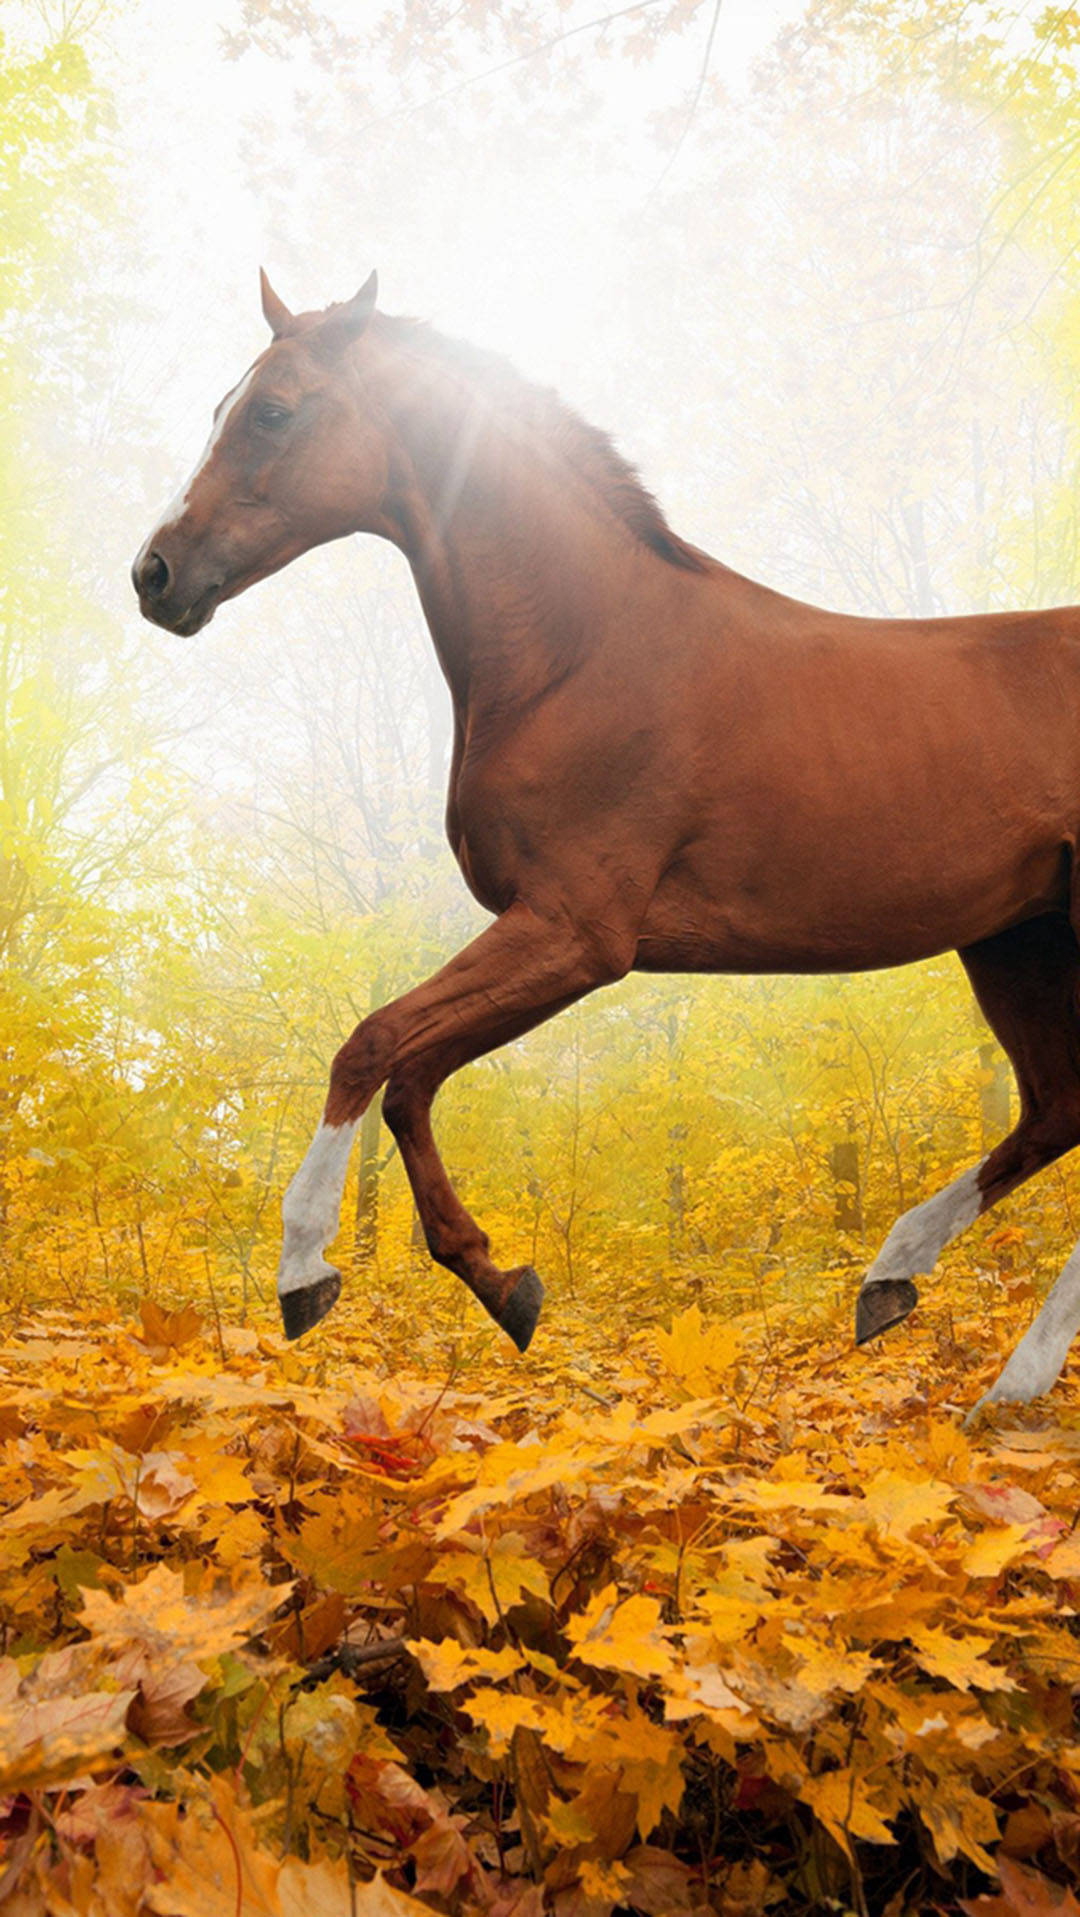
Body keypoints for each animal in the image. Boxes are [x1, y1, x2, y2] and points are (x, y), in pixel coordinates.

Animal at [133, 271, 1080, 1414]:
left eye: (272, 411)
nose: (154, 575)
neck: (580, 651)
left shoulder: (576, 934)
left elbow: (369, 1044)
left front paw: (303, 1271)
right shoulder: (551, 940)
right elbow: (412, 1077)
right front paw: (502, 1282)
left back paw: (1007, 1379)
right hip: (1017, 940)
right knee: (1057, 1110)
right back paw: (900, 1287)